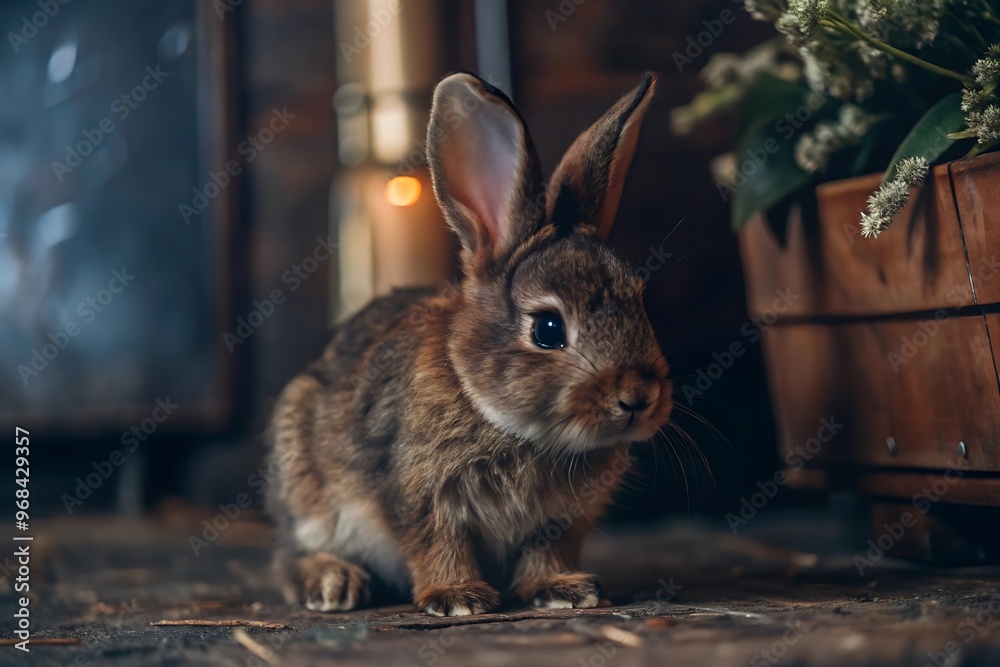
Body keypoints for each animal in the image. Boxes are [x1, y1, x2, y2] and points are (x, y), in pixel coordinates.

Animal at [265, 71, 672, 617]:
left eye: (640, 302)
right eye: (547, 329)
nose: (638, 396)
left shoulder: (560, 520)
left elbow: (546, 554)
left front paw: (564, 590)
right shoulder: (421, 495)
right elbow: (438, 544)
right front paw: (458, 598)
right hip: (307, 494)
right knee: (288, 559)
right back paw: (334, 584)